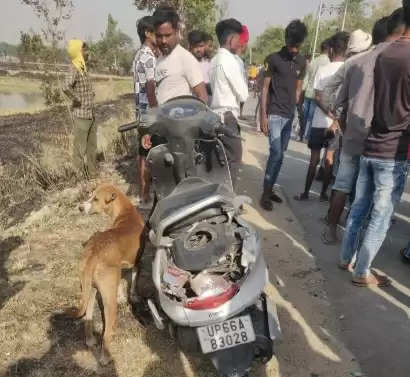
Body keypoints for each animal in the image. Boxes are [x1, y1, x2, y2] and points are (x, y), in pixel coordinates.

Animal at [66, 184, 145, 362]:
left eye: (95, 198)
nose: (80, 207)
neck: (126, 212)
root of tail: (94, 252)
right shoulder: (137, 262)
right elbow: (134, 280)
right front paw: (133, 296)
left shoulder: (122, 267)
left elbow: (123, 283)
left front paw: (123, 296)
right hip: (109, 301)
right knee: (107, 332)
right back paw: (105, 357)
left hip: (90, 290)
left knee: (87, 318)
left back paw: (90, 340)